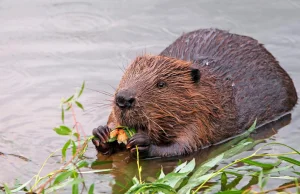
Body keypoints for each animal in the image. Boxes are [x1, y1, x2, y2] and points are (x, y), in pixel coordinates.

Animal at [92, 28, 298, 158]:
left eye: (161, 84)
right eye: (125, 76)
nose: (123, 99)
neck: (211, 91)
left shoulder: (202, 117)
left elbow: (184, 147)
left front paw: (142, 142)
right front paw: (102, 133)